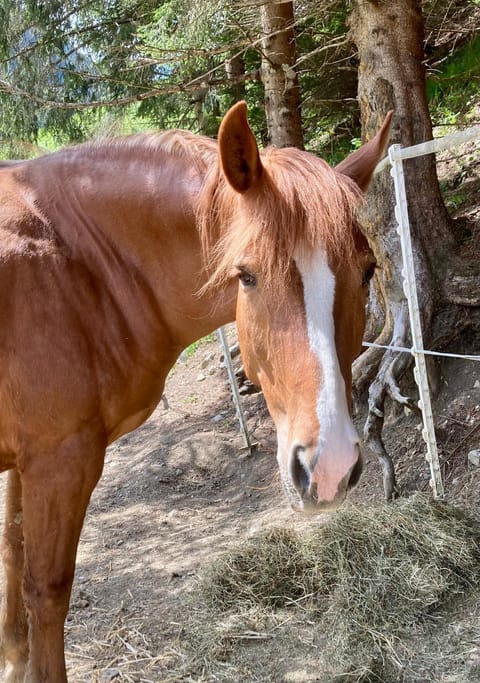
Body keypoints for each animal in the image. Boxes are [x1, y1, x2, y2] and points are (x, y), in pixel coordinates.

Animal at [0, 101, 391, 681]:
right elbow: (45, 592)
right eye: (247, 276)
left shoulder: (23, 460)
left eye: (366, 272)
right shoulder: (57, 460)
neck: (72, 266)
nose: (331, 467)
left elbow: (11, 561)